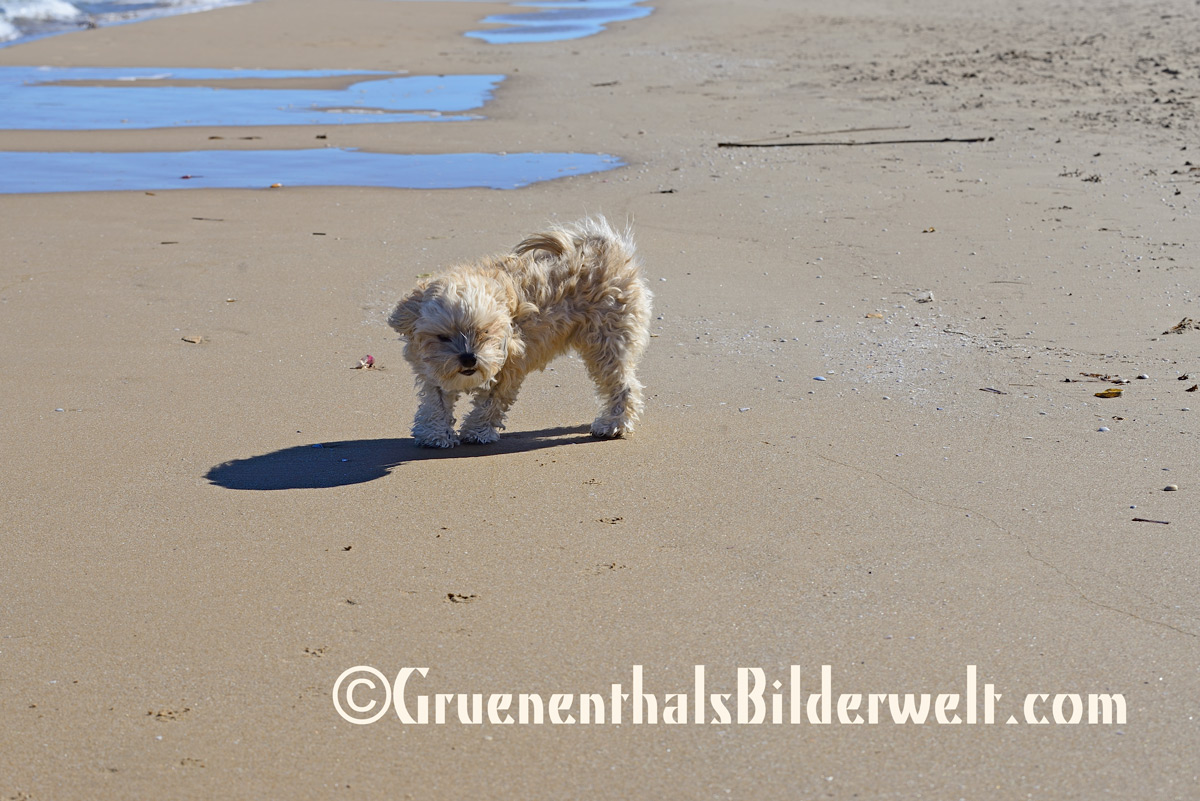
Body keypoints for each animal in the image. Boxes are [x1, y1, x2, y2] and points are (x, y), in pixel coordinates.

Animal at [388, 215, 652, 448]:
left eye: (484, 332)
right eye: (442, 337)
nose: (469, 358)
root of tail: (610, 249)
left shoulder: (509, 369)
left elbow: (490, 404)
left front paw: (477, 432)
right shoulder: (433, 370)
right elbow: (436, 402)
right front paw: (435, 434)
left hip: (607, 342)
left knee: (624, 385)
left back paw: (614, 424)